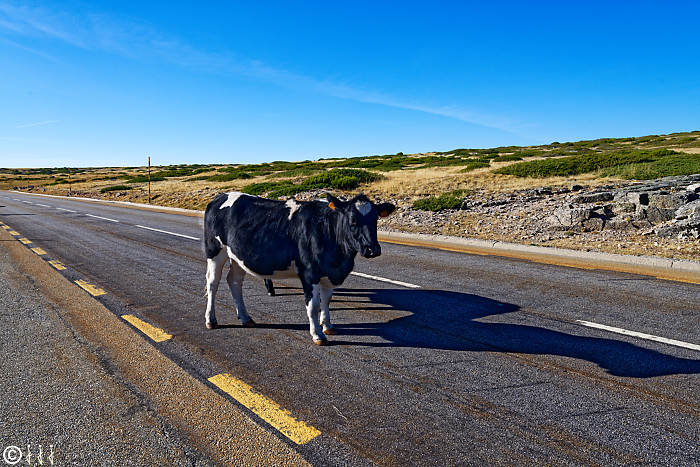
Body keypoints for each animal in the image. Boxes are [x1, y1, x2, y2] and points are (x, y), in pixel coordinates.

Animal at [203, 192, 395, 345]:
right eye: (353, 220)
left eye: (375, 219)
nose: (372, 249)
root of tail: (220, 196)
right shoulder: (309, 273)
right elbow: (313, 305)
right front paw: (317, 335)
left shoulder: (329, 273)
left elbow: (326, 300)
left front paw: (328, 326)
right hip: (215, 250)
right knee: (213, 283)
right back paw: (211, 320)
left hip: (237, 257)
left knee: (234, 282)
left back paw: (245, 317)